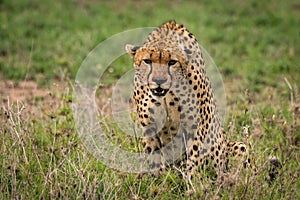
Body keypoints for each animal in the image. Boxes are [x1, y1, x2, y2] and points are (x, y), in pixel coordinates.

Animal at [124, 20, 251, 181]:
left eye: (172, 62)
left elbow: (194, 154)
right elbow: (154, 156)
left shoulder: (198, 125)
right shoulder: (150, 126)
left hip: (237, 147)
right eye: (147, 61)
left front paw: (192, 181)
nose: (159, 81)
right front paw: (155, 180)